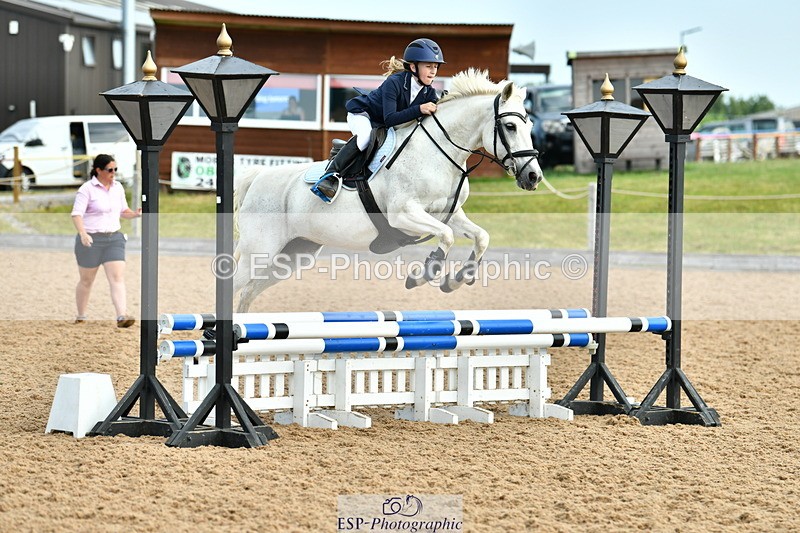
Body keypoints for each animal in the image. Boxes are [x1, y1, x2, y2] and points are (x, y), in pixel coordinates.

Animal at [232, 69, 543, 313]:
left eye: (529, 124)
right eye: (510, 126)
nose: (534, 176)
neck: (439, 152)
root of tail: (257, 178)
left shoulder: (450, 213)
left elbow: (480, 237)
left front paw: (456, 280)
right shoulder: (403, 214)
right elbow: (447, 236)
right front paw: (422, 276)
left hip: (293, 254)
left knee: (247, 293)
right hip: (260, 249)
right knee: (234, 284)